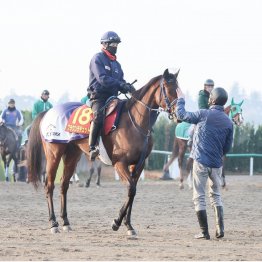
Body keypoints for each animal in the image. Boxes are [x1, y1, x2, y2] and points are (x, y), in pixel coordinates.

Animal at [27, 68, 180, 236]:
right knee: (49, 185)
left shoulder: (138, 165)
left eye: (178, 87)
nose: (178, 113)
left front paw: (128, 225)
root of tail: (48, 112)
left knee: (64, 185)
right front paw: (117, 222)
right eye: (168, 88)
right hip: (54, 154)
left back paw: (66, 222)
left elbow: (133, 192)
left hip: (72, 156)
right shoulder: (120, 163)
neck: (135, 122)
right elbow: (130, 189)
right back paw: (53, 223)